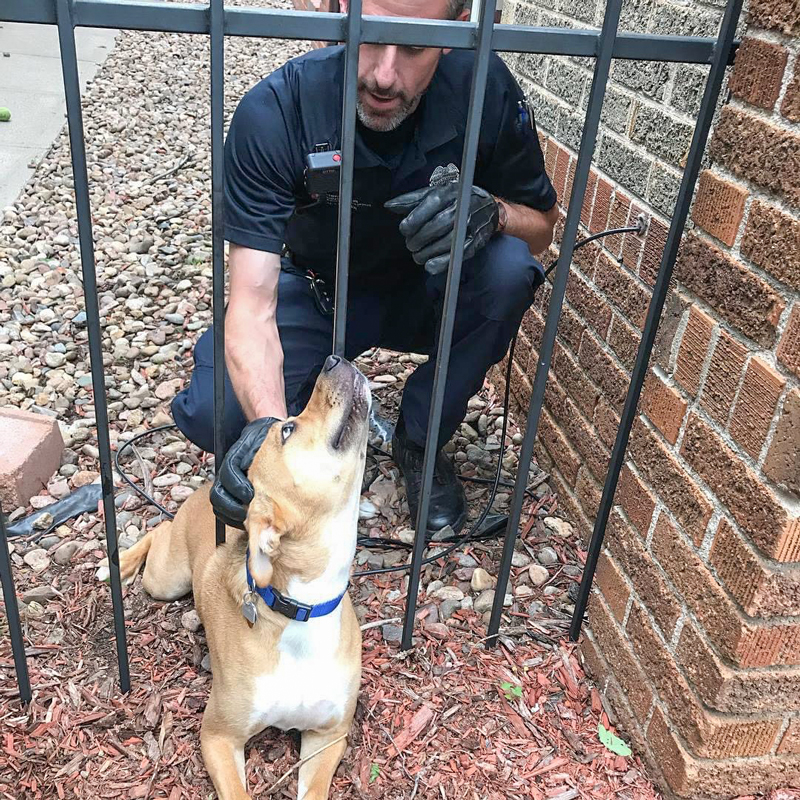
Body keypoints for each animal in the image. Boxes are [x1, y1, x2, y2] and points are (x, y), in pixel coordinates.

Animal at [100, 358, 372, 800]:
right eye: (287, 429)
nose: (335, 359)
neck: (303, 609)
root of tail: (205, 488)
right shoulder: (219, 736)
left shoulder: (328, 736)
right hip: (166, 579)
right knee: (159, 531)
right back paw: (117, 563)